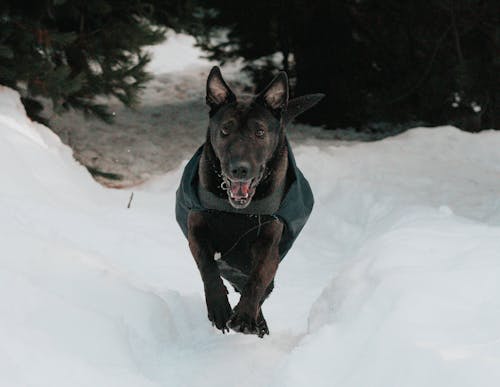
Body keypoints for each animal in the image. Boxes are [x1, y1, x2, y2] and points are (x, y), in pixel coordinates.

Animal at [176, 66, 324, 336]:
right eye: (225, 130)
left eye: (260, 132)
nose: (239, 169)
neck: (237, 211)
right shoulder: (197, 229)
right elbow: (208, 267)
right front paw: (219, 308)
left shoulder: (269, 241)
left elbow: (257, 280)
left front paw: (244, 317)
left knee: (262, 286)